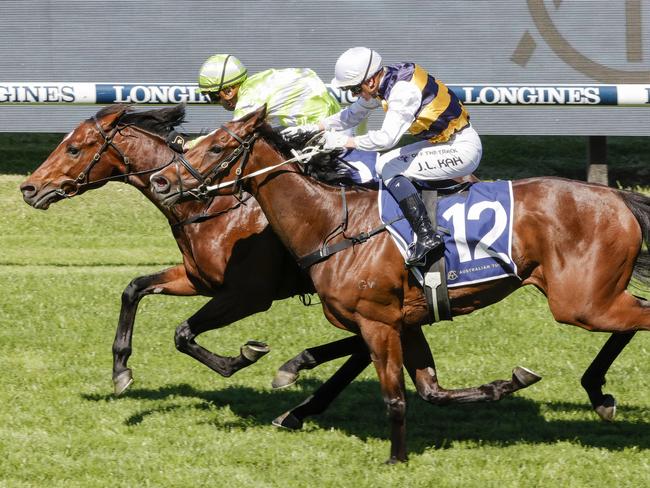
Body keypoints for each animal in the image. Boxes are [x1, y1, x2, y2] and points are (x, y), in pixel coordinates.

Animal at [20, 105, 532, 414]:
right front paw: (121, 371)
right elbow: (134, 289)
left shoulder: (248, 294)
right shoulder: (199, 279)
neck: (216, 205)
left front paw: (244, 356)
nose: (28, 188)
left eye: (74, 147)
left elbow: (185, 333)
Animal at [148, 105, 648, 464]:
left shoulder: (377, 322)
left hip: (581, 303)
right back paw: (598, 393)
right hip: (587, 298)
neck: (332, 223)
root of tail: (616, 196)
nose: (162, 179)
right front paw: (507, 383)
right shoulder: (405, 321)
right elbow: (431, 390)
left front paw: (395, 459)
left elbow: (395, 397)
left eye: (217, 148)